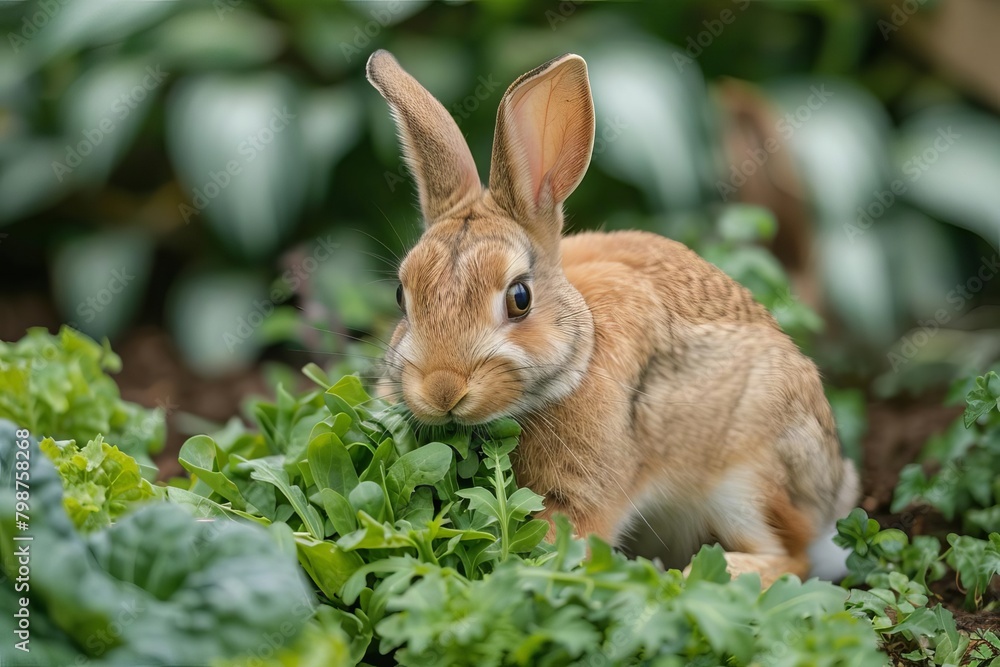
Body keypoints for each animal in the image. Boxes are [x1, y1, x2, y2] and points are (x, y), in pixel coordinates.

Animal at [366, 49, 859, 586]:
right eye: (401, 295)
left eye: (519, 297)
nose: (442, 390)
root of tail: (834, 486)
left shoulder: (584, 497)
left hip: (750, 478)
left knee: (792, 556)